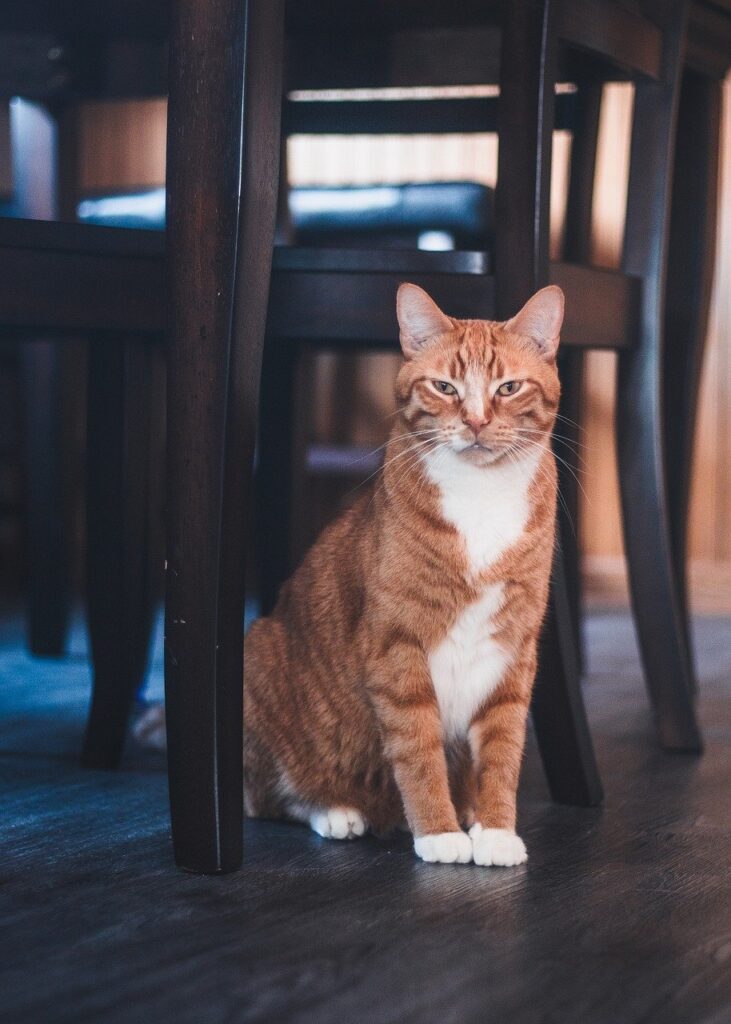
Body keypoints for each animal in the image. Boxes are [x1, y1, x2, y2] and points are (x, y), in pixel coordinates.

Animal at [244, 280, 565, 864]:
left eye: (508, 388)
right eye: (445, 387)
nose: (477, 421)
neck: (480, 496)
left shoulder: (514, 648)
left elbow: (502, 753)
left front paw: (495, 828)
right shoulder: (397, 648)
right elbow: (419, 751)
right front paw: (439, 832)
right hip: (257, 652)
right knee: (267, 796)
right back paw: (336, 810)